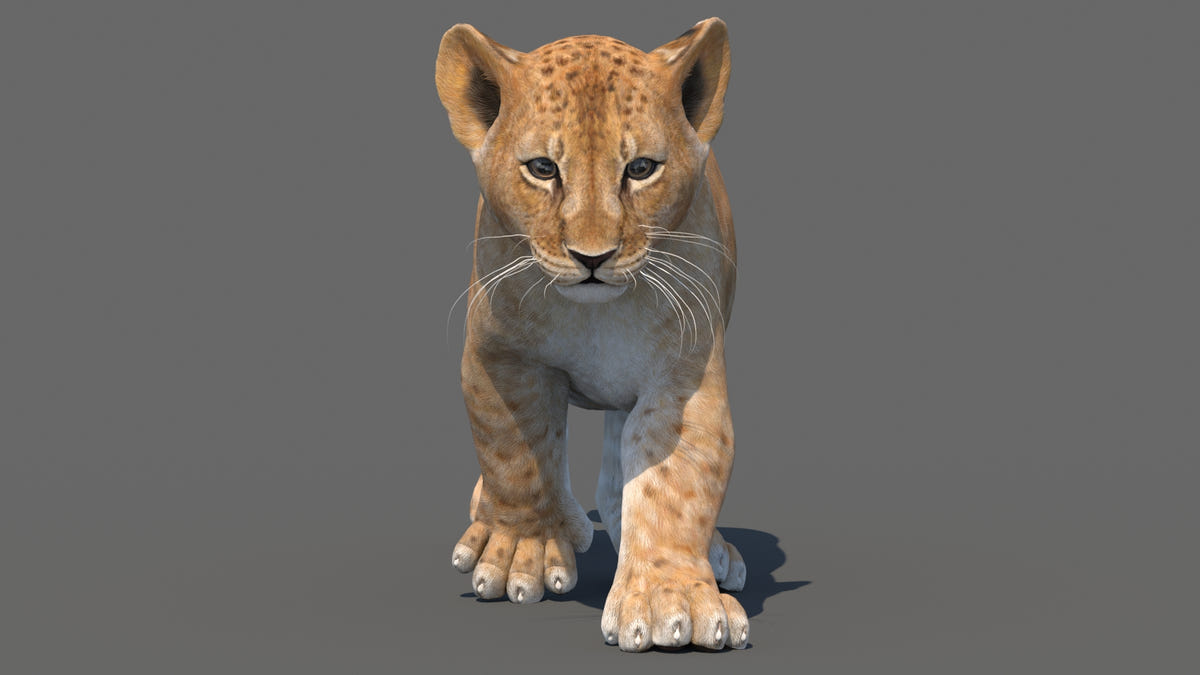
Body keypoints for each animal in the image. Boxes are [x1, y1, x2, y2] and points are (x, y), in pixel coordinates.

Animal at [434, 17, 748, 651]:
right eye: (542, 169)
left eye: (641, 169)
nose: (592, 256)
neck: (597, 317)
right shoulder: (499, 354)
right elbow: (514, 449)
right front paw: (518, 553)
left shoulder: (685, 376)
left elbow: (674, 480)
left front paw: (672, 603)